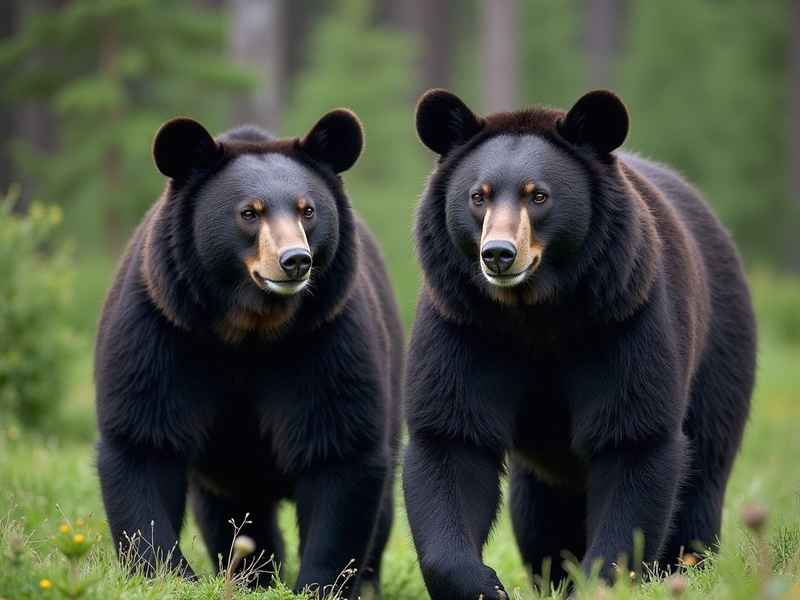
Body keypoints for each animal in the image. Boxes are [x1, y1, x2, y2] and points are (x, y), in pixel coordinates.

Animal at [94, 109, 403, 598]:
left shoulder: (328, 337)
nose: (295, 260)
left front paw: (319, 583)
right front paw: (167, 574)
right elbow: (142, 442)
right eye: (249, 213)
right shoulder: (160, 328)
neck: (248, 330)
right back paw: (251, 575)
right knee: (231, 513)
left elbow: (340, 451)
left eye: (307, 210)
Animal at [402, 89, 756, 599]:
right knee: (538, 510)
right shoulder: (463, 323)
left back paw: (686, 567)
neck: (534, 310)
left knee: (704, 471)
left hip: (721, 352)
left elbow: (634, 438)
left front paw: (603, 578)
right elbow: (451, 438)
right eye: (477, 196)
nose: (498, 255)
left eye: (538, 195)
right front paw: (482, 583)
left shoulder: (624, 319)